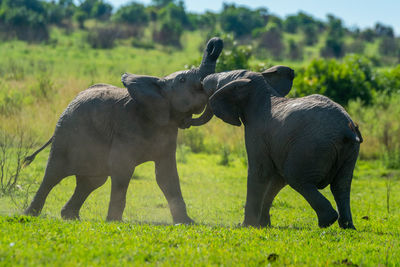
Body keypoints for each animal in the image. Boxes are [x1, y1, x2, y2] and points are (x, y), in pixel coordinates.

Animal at [23, 36, 223, 223]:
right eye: (182, 80)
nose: (215, 42)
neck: (158, 84)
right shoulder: (127, 126)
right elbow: (122, 169)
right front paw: (114, 221)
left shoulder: (167, 130)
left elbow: (166, 176)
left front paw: (187, 223)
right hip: (65, 133)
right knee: (53, 175)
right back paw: (30, 214)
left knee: (92, 180)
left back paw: (70, 217)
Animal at [196, 66, 362, 229]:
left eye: (218, 84)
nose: (202, 82)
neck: (263, 89)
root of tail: (347, 128)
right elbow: (277, 179)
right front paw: (264, 225)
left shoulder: (257, 132)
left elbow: (260, 172)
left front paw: (245, 226)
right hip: (349, 151)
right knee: (341, 185)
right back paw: (347, 226)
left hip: (312, 146)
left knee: (296, 177)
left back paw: (327, 221)